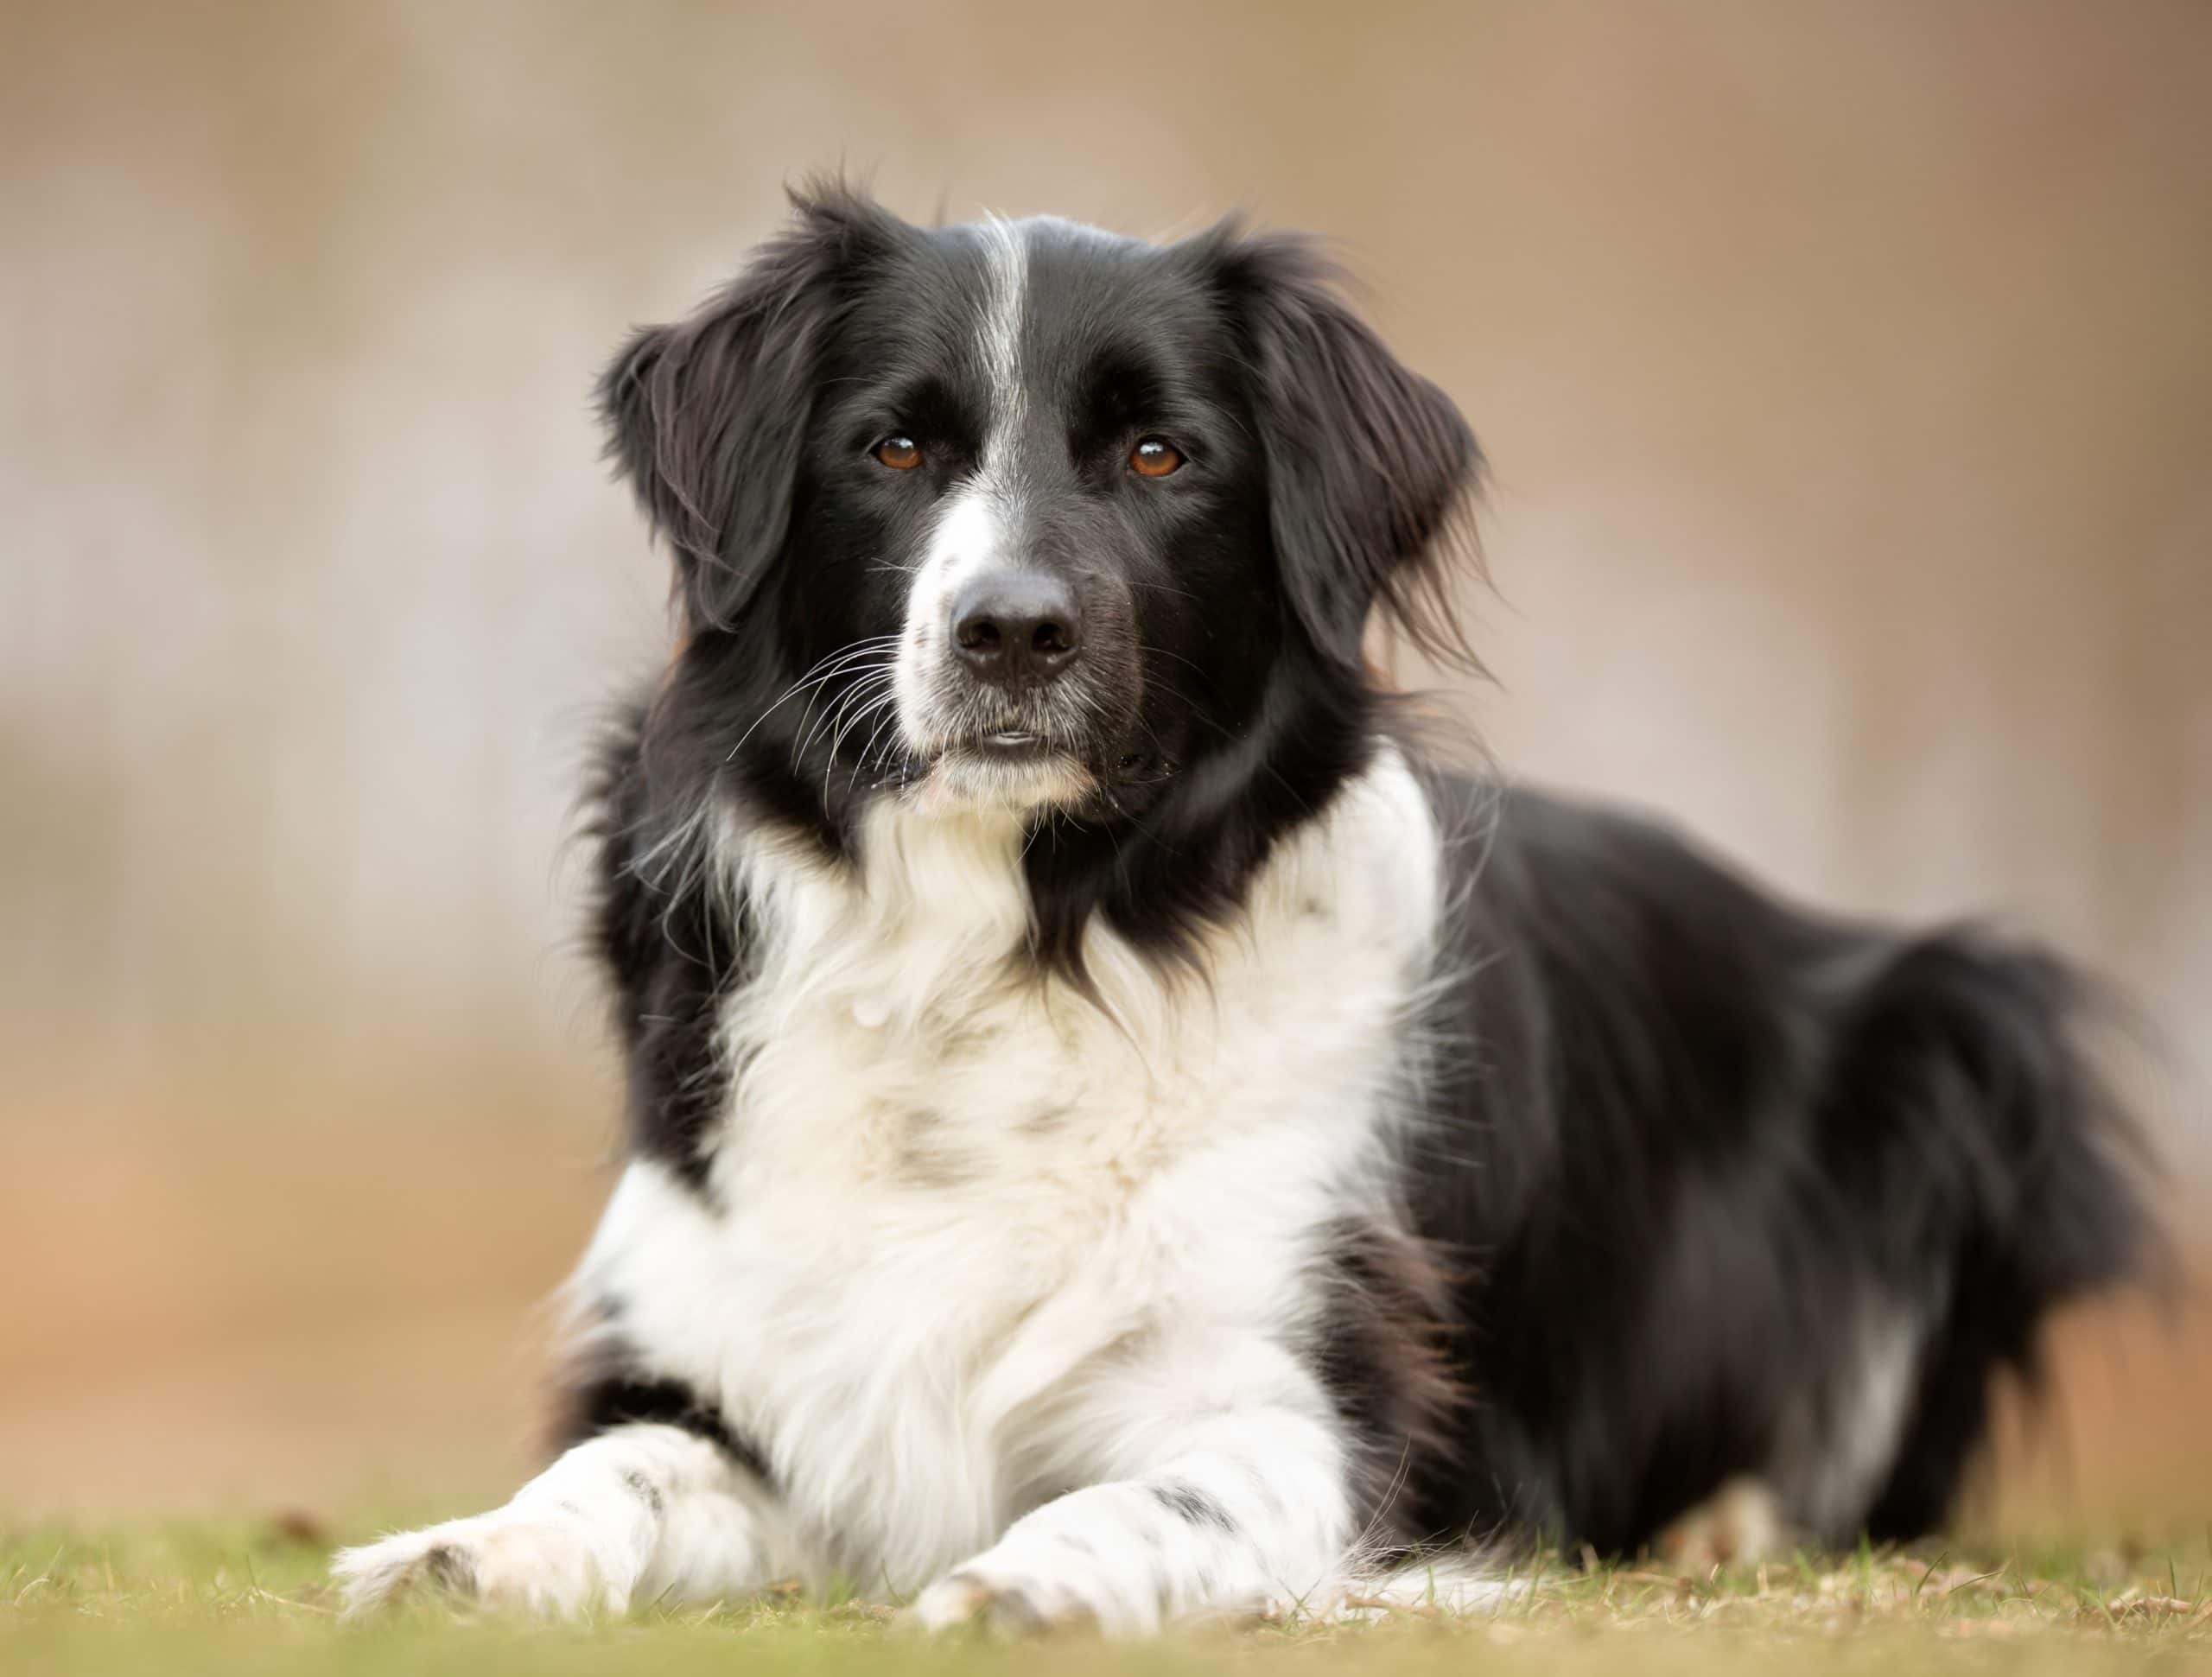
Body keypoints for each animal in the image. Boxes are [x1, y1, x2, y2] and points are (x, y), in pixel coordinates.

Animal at [336, 190, 2150, 1636]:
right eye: (896, 447)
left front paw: (1026, 1582)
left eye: (1159, 454)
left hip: (1960, 1042)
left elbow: (1157, 1493)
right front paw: (462, 1551)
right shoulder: (721, 1362)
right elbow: (616, 1472)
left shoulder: (1311, 1402)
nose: (1011, 632)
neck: (1014, 948)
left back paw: (1725, 1523)